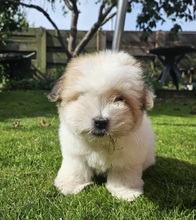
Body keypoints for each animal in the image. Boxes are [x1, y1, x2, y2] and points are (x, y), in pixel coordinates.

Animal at [48, 49, 155, 201]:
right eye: (83, 96)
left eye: (120, 99)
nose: (100, 121)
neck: (101, 142)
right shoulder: (75, 154)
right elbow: (75, 168)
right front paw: (71, 185)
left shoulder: (128, 158)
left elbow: (124, 172)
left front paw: (125, 191)